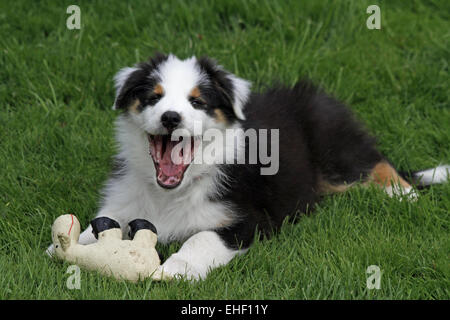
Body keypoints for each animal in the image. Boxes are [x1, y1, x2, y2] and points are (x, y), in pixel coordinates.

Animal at [47, 53, 448, 280]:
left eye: (198, 102)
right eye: (153, 98)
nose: (171, 117)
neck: (173, 193)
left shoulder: (250, 218)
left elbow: (202, 237)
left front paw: (176, 268)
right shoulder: (124, 202)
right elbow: (96, 227)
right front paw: (63, 246)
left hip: (333, 143)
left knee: (376, 163)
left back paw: (402, 194)